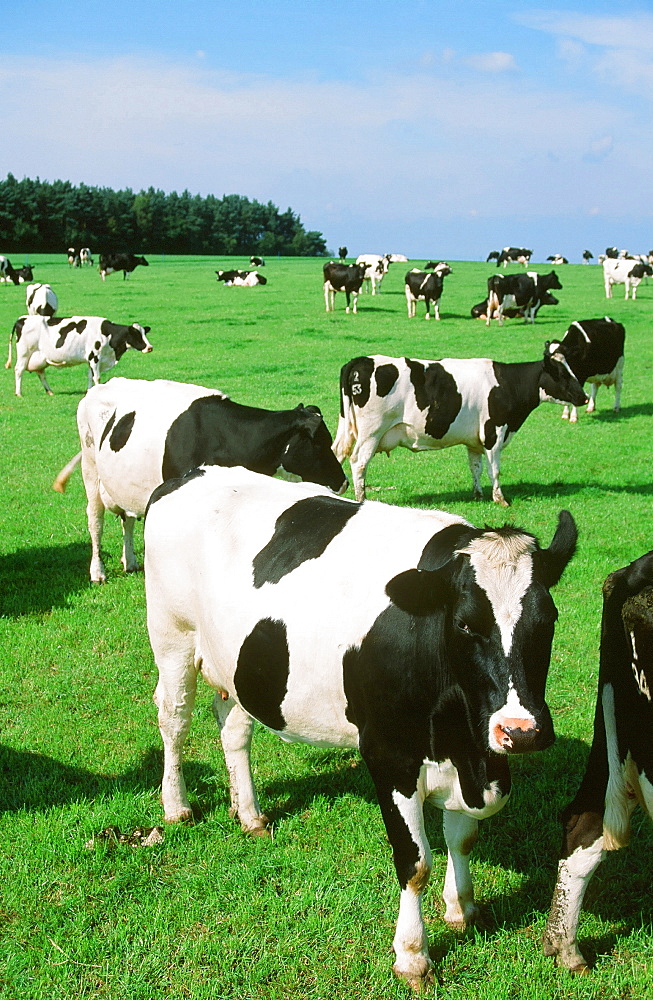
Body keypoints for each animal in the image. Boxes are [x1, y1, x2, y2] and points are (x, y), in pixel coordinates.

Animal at [6, 314, 152, 396]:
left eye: (144, 333)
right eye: (136, 334)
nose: (150, 347)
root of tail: (22, 318)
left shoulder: (91, 360)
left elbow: (90, 377)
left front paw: (90, 391)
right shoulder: (95, 357)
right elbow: (97, 377)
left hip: (39, 357)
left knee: (41, 373)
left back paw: (50, 391)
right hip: (24, 353)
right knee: (19, 370)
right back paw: (18, 393)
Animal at [53, 376, 348, 584]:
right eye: (321, 443)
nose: (343, 482)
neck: (221, 436)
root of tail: (100, 386)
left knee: (127, 519)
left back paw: (131, 561)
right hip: (90, 469)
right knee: (95, 520)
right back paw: (98, 572)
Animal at [141, 464, 576, 988]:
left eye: (548, 620)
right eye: (467, 625)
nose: (522, 731)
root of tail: (193, 472)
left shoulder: (471, 752)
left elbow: (464, 837)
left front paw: (461, 908)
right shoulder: (389, 753)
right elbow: (414, 862)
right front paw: (413, 956)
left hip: (240, 666)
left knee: (233, 728)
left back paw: (250, 814)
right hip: (172, 638)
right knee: (174, 719)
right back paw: (176, 805)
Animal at [332, 352, 584, 508]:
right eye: (562, 374)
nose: (583, 397)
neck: (507, 384)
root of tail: (362, 360)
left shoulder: (474, 441)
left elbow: (476, 467)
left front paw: (478, 495)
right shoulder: (494, 433)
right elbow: (494, 470)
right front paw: (500, 499)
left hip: (347, 428)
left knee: (336, 453)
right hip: (371, 432)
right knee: (358, 462)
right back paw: (361, 498)